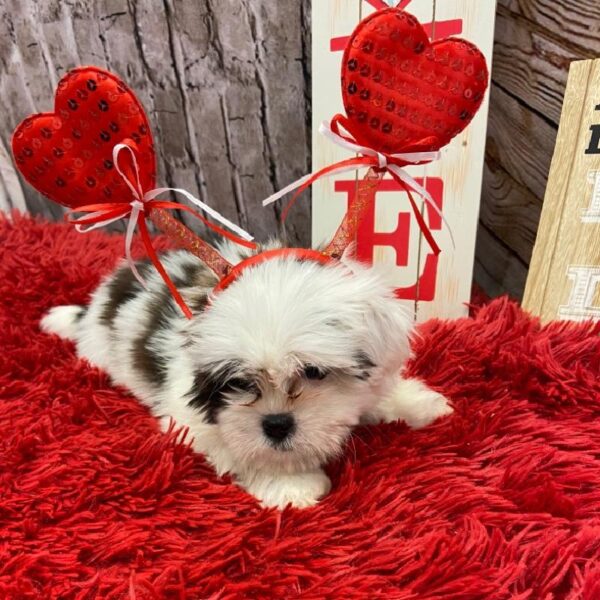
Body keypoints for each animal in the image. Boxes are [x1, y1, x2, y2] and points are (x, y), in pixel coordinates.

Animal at [41, 244, 450, 506]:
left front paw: (416, 404)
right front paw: (291, 483)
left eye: (313, 371)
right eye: (238, 382)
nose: (276, 425)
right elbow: (235, 443)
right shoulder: (188, 417)